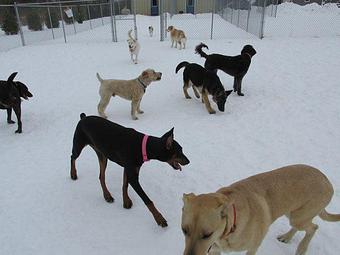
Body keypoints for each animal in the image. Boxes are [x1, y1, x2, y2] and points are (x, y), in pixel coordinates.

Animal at [182, 164, 338, 255]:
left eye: (207, 234)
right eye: (184, 230)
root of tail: (327, 180)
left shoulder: (253, 248)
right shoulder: (215, 250)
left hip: (299, 217)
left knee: (313, 227)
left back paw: (301, 249)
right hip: (292, 212)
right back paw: (287, 237)